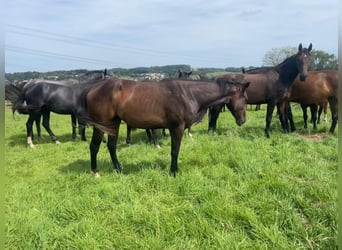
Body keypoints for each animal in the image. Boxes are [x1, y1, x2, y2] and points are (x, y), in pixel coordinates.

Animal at [76, 77, 250, 177]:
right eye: (245, 98)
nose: (242, 120)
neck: (188, 94)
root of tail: (92, 89)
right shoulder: (177, 128)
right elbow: (174, 151)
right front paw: (173, 172)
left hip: (113, 124)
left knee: (111, 146)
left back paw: (119, 169)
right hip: (102, 125)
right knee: (94, 147)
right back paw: (95, 172)